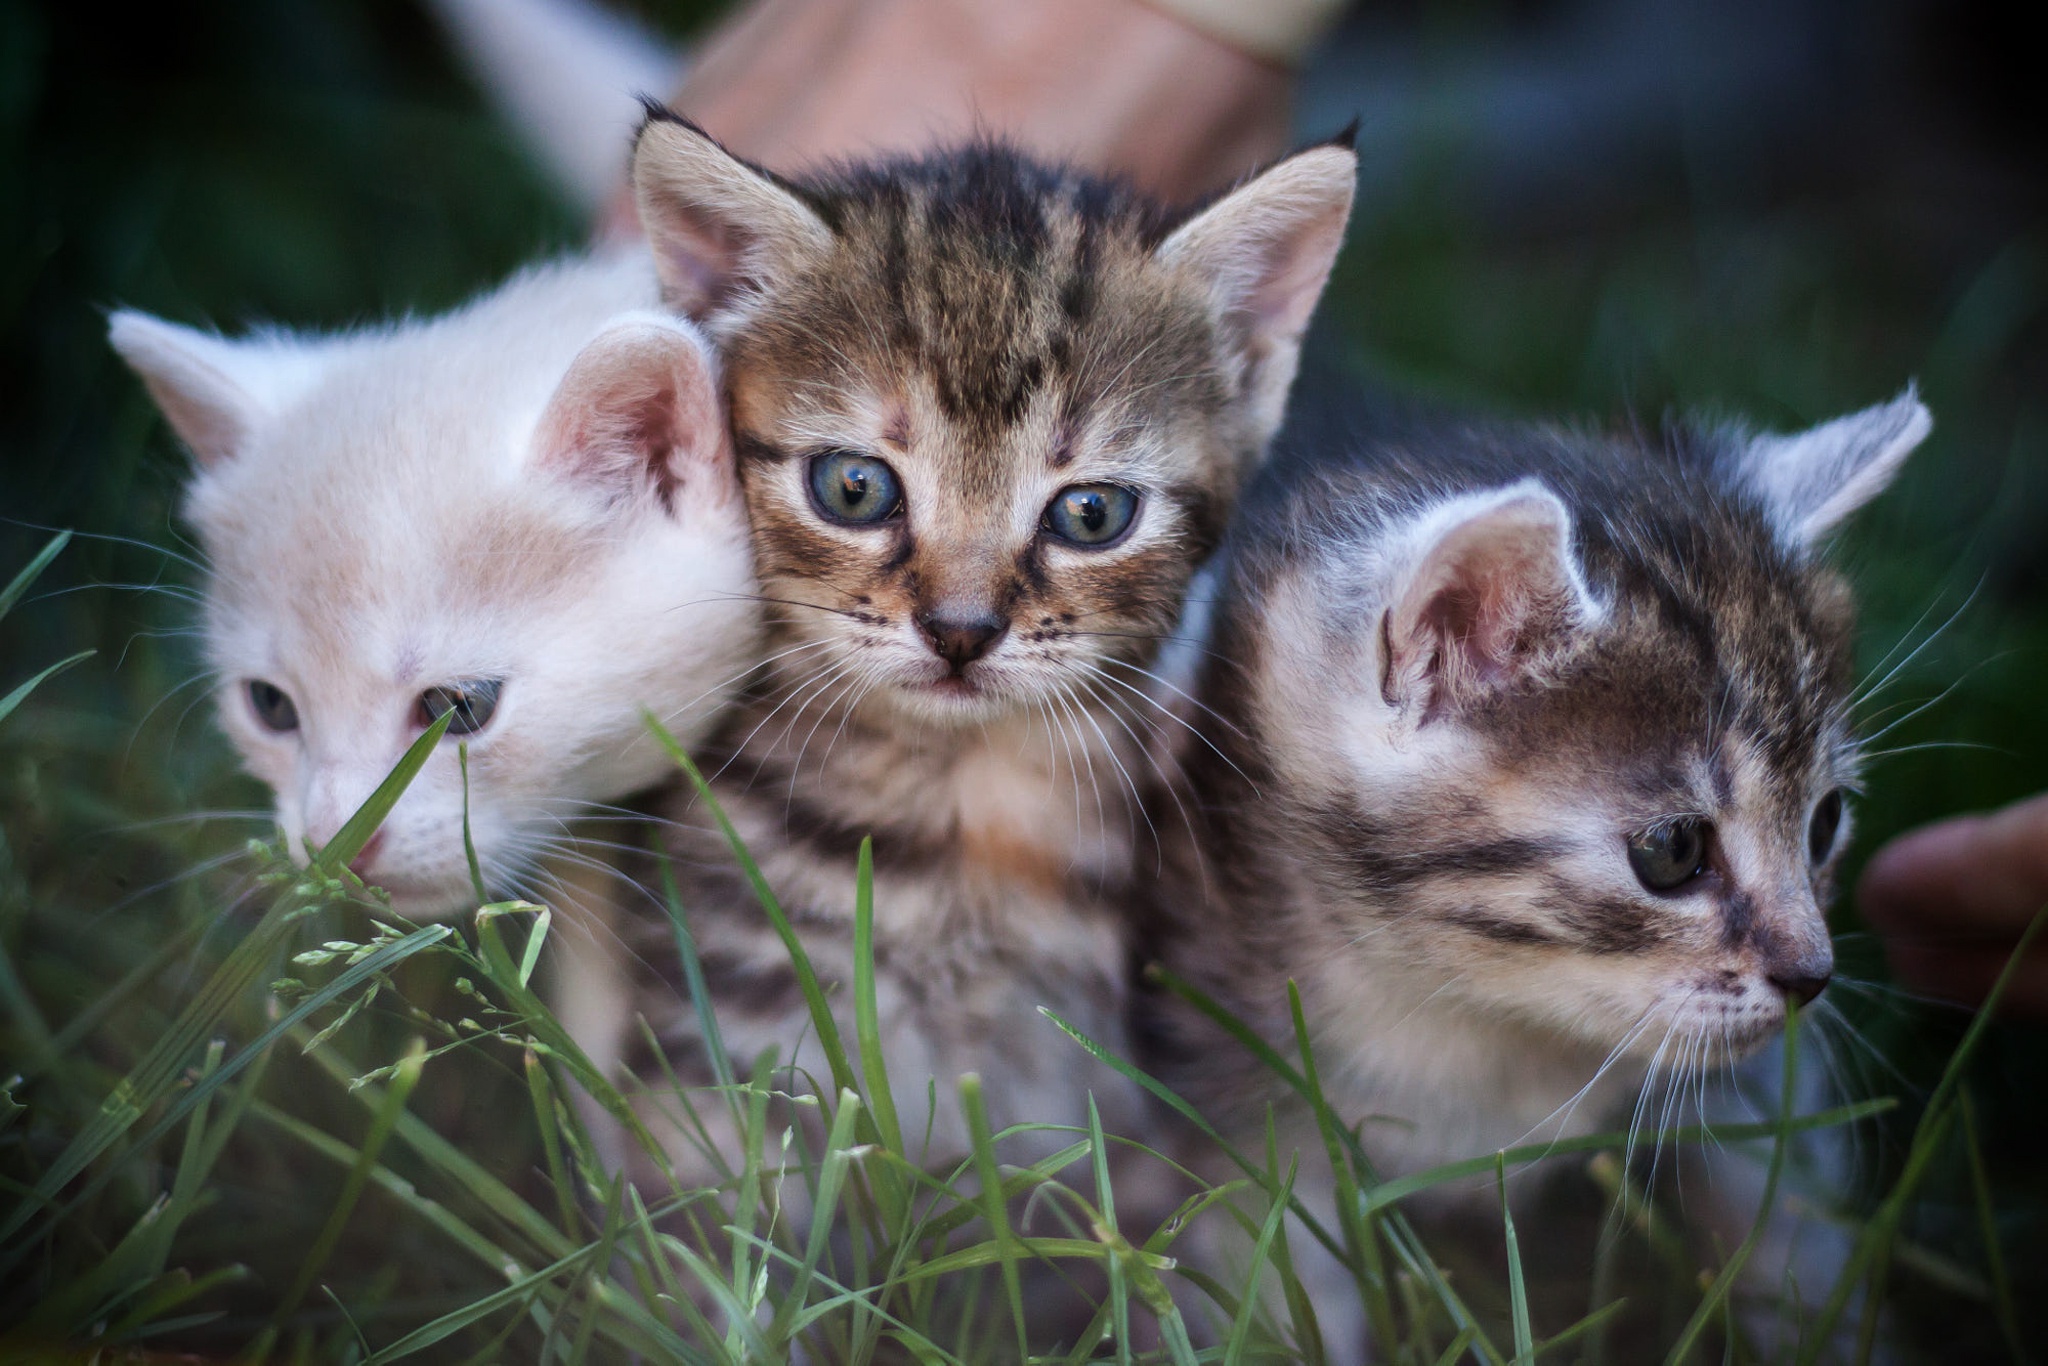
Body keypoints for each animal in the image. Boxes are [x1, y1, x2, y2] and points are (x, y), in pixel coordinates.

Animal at [1146, 378, 1925, 1351]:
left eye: (1824, 824)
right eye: (1673, 852)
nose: (1812, 975)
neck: (1480, 1023)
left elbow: (1791, 1227)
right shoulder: (1229, 1097)